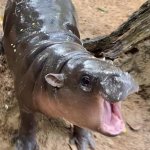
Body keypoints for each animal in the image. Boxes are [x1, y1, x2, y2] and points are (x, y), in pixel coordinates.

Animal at [1, 0, 139, 149]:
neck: (65, 59)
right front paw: (25, 146)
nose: (121, 77)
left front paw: (86, 144)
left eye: (111, 63)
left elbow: (82, 125)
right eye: (85, 80)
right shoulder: (25, 102)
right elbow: (29, 124)